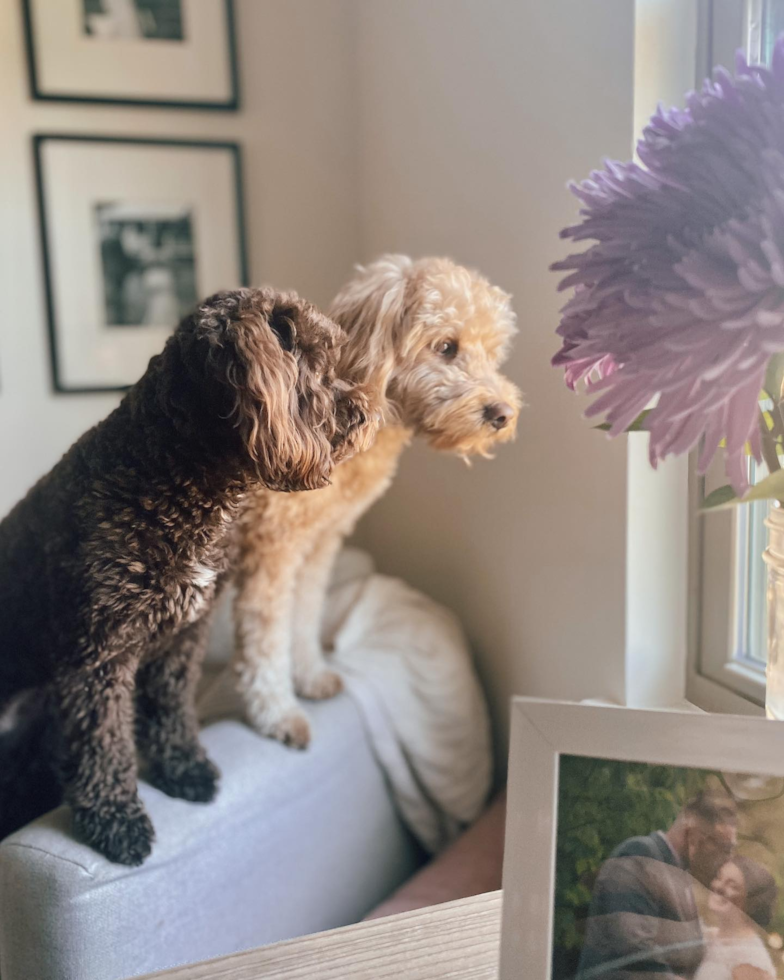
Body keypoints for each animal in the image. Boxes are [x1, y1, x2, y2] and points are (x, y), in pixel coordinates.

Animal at [0, 290, 376, 864]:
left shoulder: (182, 639)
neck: (174, 478)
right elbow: (105, 743)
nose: (367, 412)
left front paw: (184, 769)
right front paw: (116, 821)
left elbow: (172, 710)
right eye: (310, 360)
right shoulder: (97, 658)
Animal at [234, 256, 520, 748]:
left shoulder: (317, 545)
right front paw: (277, 713)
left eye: (492, 352)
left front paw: (310, 676)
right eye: (446, 347)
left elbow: (304, 616)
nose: (502, 414)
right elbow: (266, 639)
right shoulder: (271, 551)